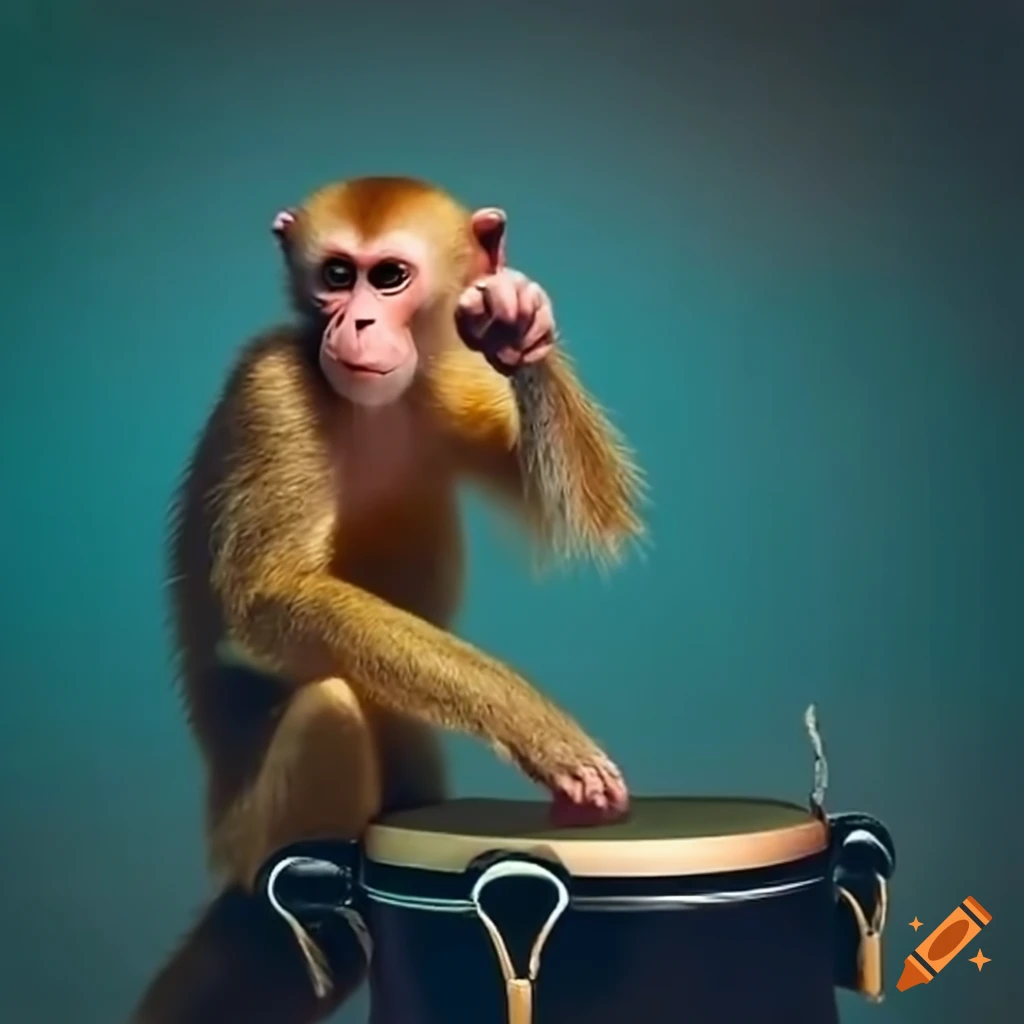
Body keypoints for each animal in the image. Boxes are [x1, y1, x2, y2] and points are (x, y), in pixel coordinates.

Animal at [131, 176, 645, 1024]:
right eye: (337, 276)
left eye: (390, 277)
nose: (358, 322)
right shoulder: (274, 384)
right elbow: (267, 599)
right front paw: (536, 726)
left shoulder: (457, 380)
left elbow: (589, 524)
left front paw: (520, 320)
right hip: (242, 835)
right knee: (332, 710)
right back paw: (308, 911)